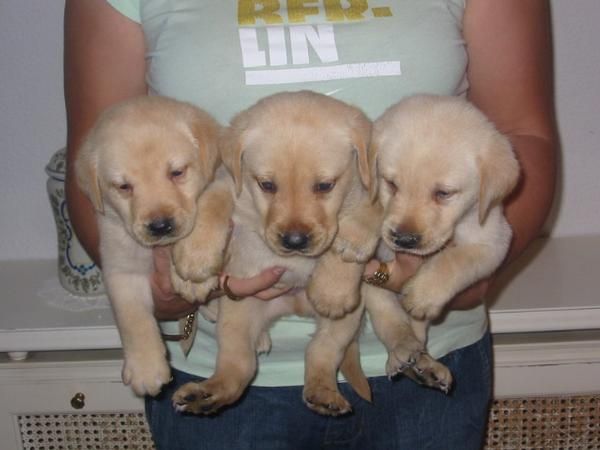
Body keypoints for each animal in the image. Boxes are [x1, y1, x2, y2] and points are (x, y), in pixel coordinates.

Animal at [75, 96, 220, 396]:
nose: (161, 226)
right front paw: (146, 369)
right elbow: (133, 318)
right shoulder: (120, 267)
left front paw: (193, 275)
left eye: (177, 172)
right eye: (123, 186)